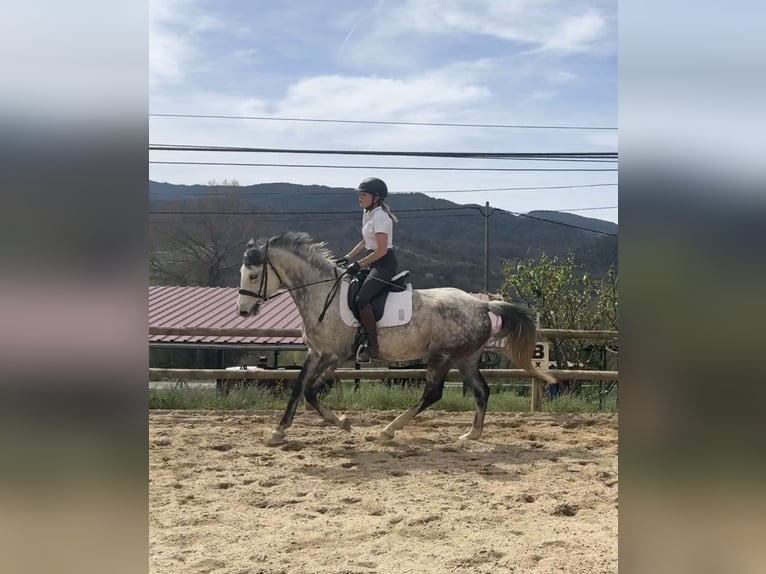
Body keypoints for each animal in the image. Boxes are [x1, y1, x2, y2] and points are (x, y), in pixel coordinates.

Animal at [237, 233, 556, 446]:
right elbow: (298, 388)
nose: (243, 311)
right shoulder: (315, 353)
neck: (321, 293)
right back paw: (471, 434)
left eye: (253, 276)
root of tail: (481, 305)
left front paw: (342, 423)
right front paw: (279, 431)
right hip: (465, 358)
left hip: (441, 357)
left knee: (433, 394)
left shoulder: (334, 355)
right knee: (481, 391)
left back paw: (389, 430)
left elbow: (311, 391)